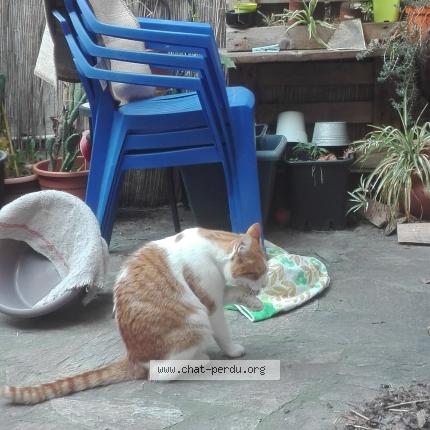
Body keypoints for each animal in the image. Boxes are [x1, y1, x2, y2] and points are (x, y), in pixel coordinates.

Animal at [1, 223, 268, 404]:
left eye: (266, 271)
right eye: (257, 273)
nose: (265, 284)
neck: (210, 249)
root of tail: (132, 357)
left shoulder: (219, 292)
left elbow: (234, 292)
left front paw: (253, 302)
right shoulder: (210, 305)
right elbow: (223, 332)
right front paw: (233, 350)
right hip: (196, 322)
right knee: (160, 373)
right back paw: (200, 360)